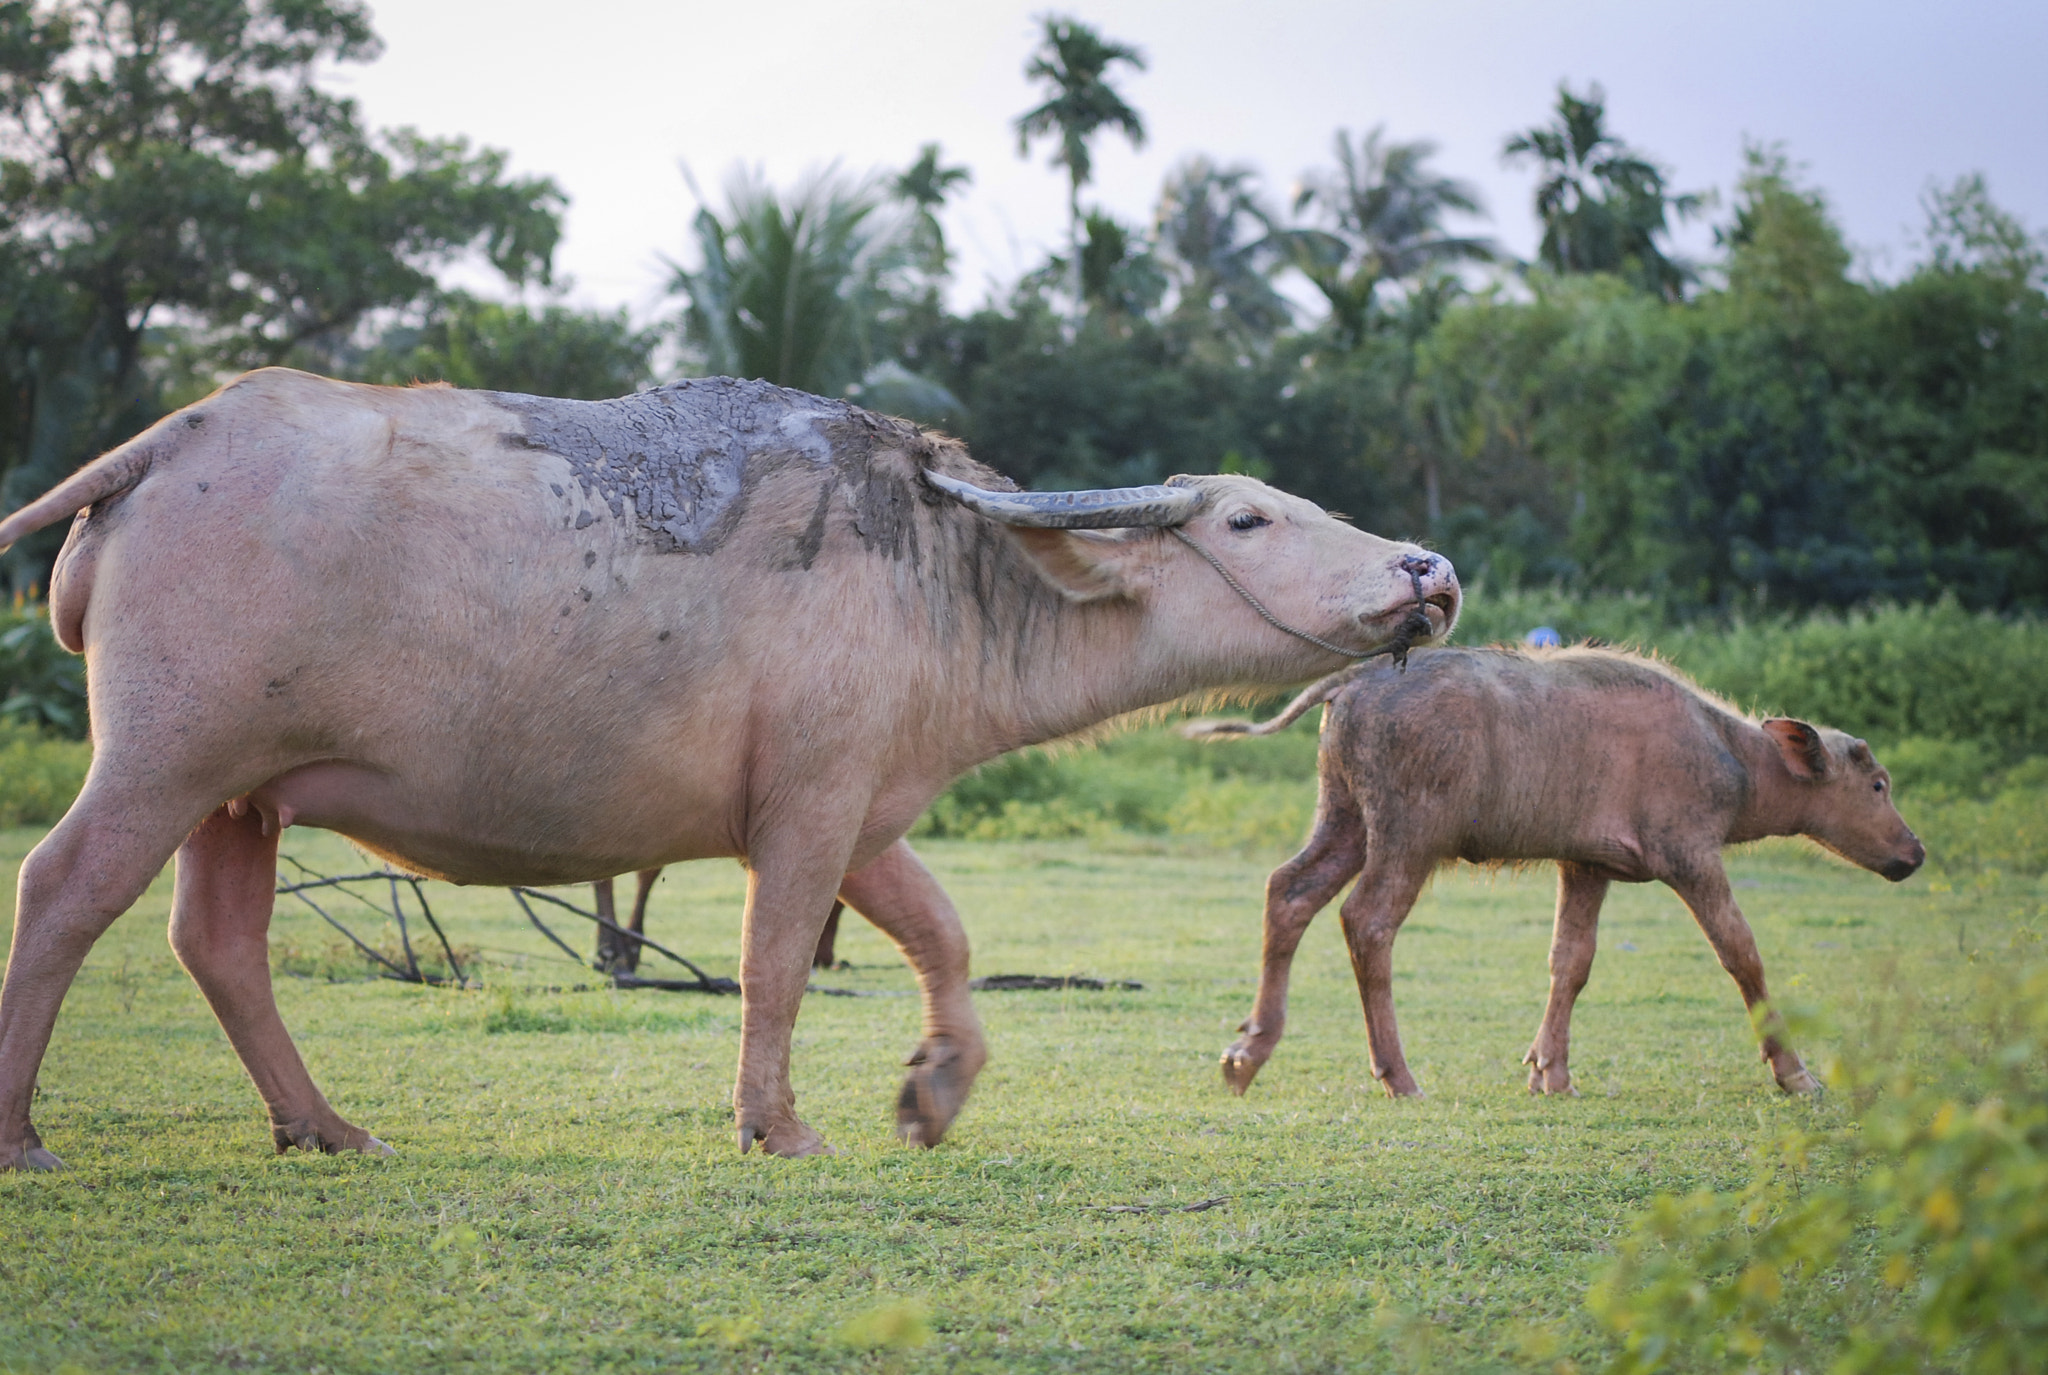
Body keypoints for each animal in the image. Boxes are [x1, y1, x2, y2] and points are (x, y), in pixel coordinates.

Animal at [0, 364, 1458, 1163]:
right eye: (1248, 518)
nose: (1425, 569)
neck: (936, 572)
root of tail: (177, 436)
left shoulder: (866, 811)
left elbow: (943, 932)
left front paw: (935, 1086)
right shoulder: (804, 812)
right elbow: (773, 963)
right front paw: (779, 1123)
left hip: (238, 794)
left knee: (216, 939)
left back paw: (325, 1124)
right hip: (165, 758)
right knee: (64, 892)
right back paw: (25, 1136)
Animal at [1196, 647, 1925, 1098]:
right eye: (1879, 784)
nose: (1914, 852)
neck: (1734, 758)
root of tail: (1352, 681)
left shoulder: (1586, 864)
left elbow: (1570, 960)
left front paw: (1552, 1070)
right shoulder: (1691, 855)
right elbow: (1742, 953)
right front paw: (1795, 1072)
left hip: (1345, 818)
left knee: (1289, 891)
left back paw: (1247, 1054)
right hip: (1409, 835)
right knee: (1367, 920)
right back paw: (1398, 1074)